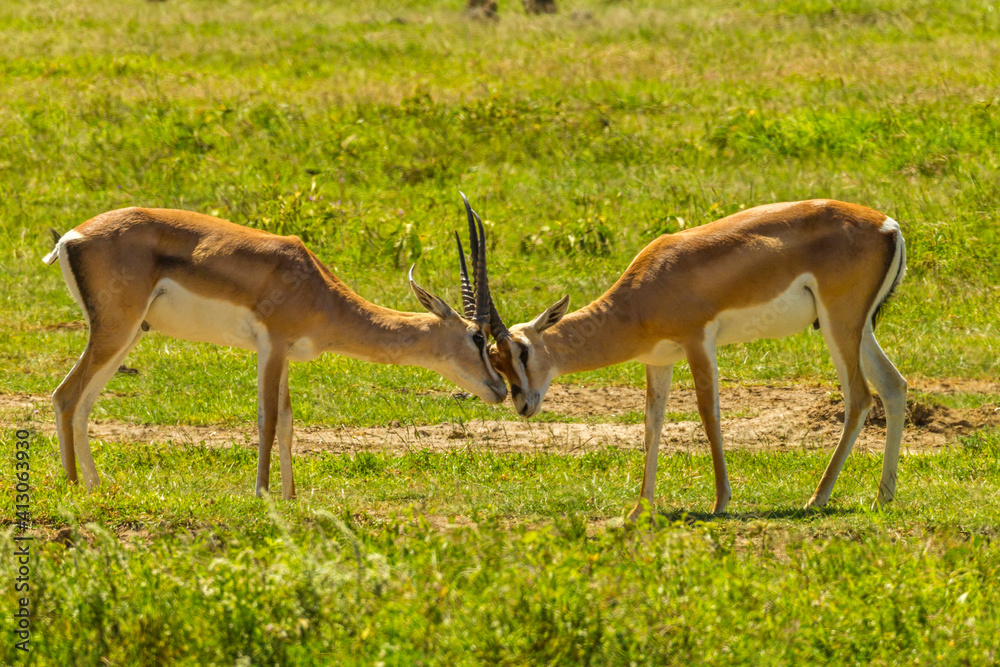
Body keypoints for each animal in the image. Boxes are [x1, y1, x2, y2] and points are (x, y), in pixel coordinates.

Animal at [43, 194, 507, 499]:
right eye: (477, 337)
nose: (501, 389)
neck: (317, 288)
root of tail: (71, 237)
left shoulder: (286, 356)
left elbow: (286, 422)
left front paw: (290, 496)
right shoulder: (272, 345)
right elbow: (266, 419)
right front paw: (262, 493)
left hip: (130, 333)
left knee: (83, 402)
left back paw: (98, 487)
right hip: (116, 331)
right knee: (66, 395)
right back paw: (73, 487)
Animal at [487, 200, 907, 518]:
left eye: (522, 351)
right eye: (495, 358)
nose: (523, 405)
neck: (643, 292)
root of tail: (889, 226)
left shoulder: (698, 341)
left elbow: (709, 413)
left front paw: (720, 501)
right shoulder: (658, 360)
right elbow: (651, 424)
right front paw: (640, 508)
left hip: (839, 324)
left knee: (860, 397)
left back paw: (817, 498)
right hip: (857, 329)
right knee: (893, 385)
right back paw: (882, 497)